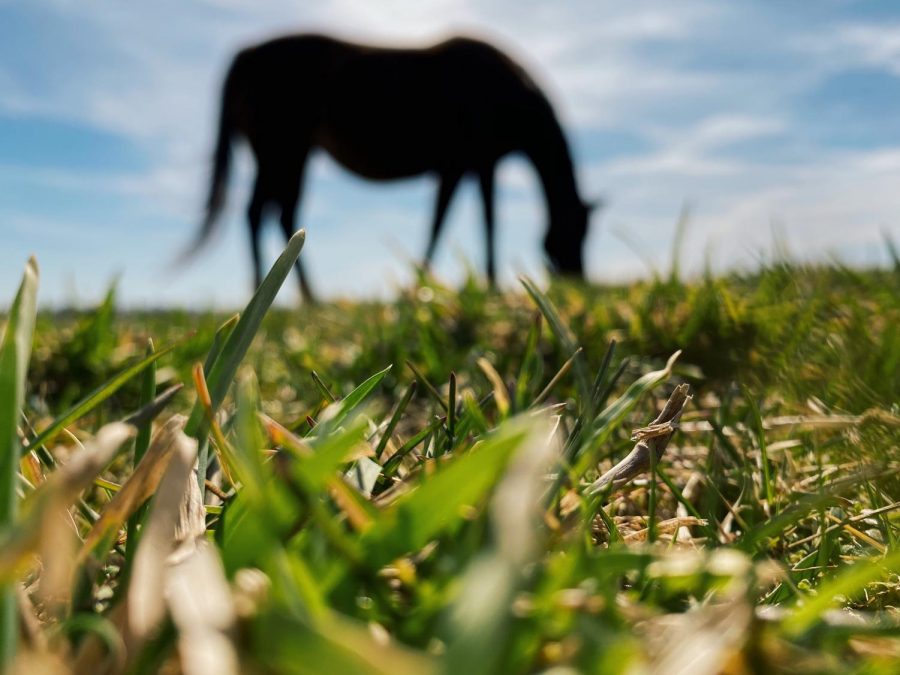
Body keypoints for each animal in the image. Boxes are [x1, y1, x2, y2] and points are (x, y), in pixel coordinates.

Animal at [186, 33, 596, 300]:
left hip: (286, 155)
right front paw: (487, 284)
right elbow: (483, 221)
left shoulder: (459, 167)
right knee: (262, 213)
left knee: (276, 214)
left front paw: (424, 283)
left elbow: (441, 221)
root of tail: (246, 54)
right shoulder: (477, 162)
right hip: (282, 151)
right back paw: (284, 292)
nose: (579, 279)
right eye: (571, 234)